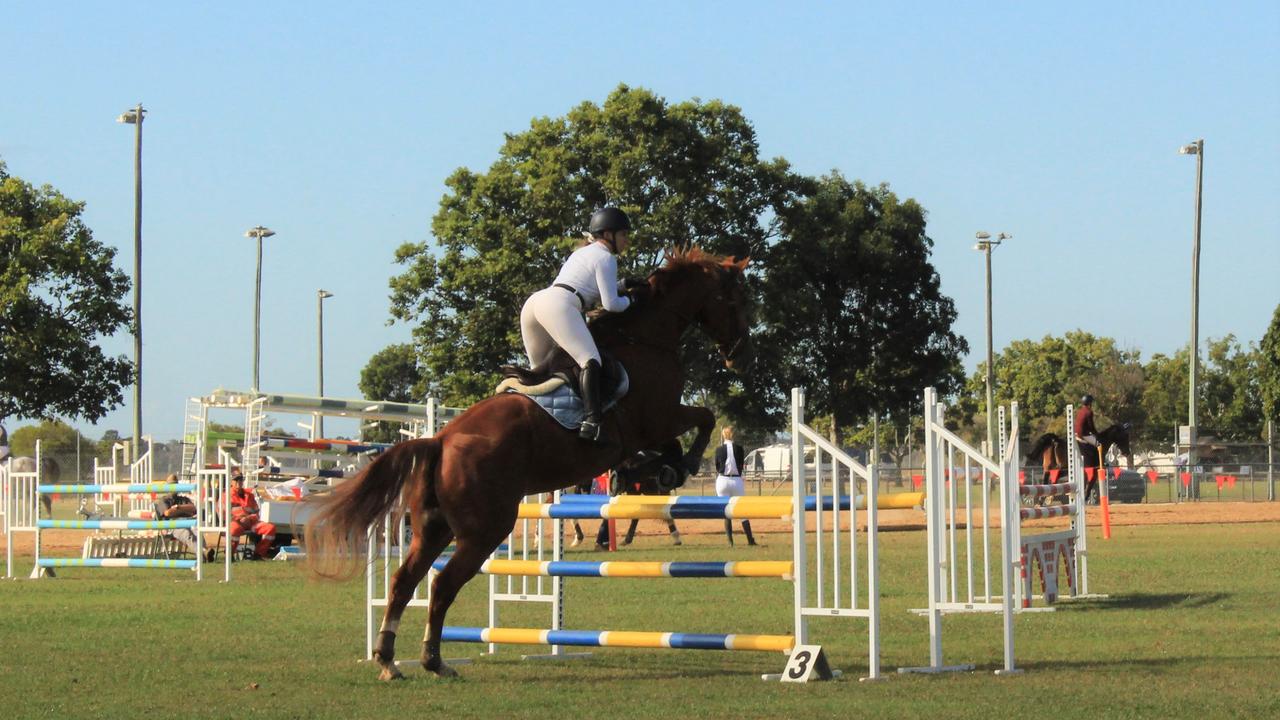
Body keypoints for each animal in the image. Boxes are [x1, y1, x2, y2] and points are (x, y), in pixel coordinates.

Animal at [307, 248, 747, 676]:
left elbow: (672, 443)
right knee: (441, 585)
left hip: (434, 527)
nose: (736, 353)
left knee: (404, 581)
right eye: (734, 300)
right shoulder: (656, 419)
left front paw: (664, 469)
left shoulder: (649, 430)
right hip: (484, 530)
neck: (645, 339)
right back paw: (433, 660)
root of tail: (440, 439)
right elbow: (703, 419)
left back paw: (388, 659)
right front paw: (682, 465)